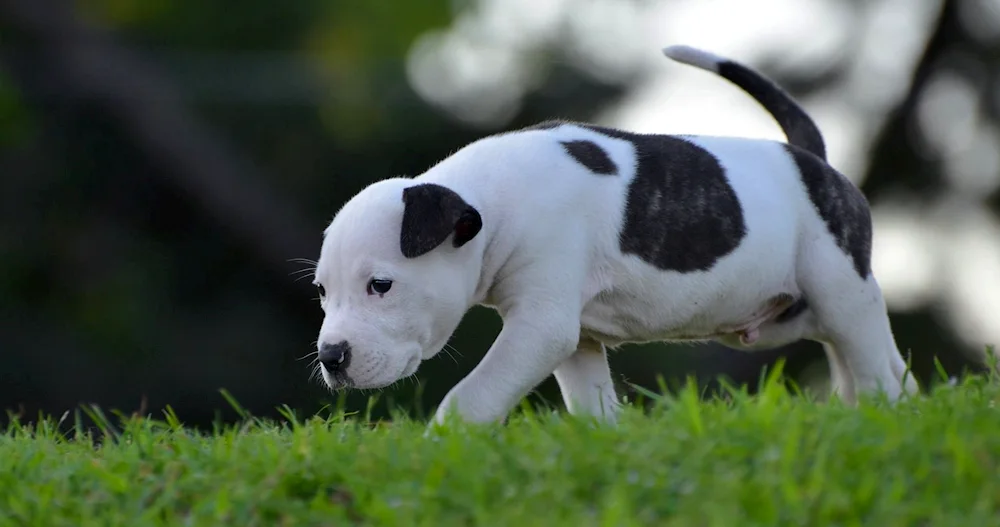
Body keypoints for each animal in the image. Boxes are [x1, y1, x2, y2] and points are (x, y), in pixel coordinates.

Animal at [312, 44, 920, 424]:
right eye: (321, 291)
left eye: (381, 286)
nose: (331, 357)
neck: (492, 200)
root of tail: (811, 158)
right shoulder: (575, 338)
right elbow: (592, 406)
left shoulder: (540, 326)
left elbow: (472, 396)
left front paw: (445, 445)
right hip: (801, 314)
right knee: (877, 363)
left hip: (839, 286)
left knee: (872, 364)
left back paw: (880, 416)